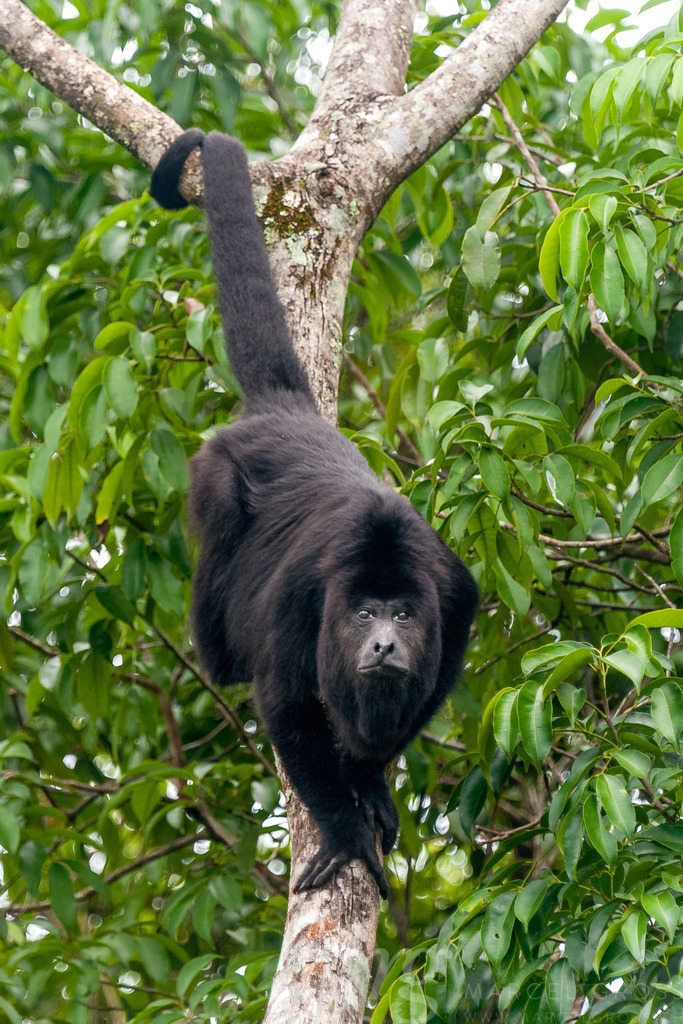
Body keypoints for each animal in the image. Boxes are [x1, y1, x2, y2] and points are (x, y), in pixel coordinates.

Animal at [150, 130, 477, 896]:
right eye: (362, 613)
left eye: (403, 615)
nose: (382, 645)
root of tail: (286, 412)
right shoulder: (304, 599)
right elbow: (286, 705)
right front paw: (346, 827)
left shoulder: (454, 598)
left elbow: (424, 696)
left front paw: (370, 781)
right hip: (214, 471)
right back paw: (220, 653)